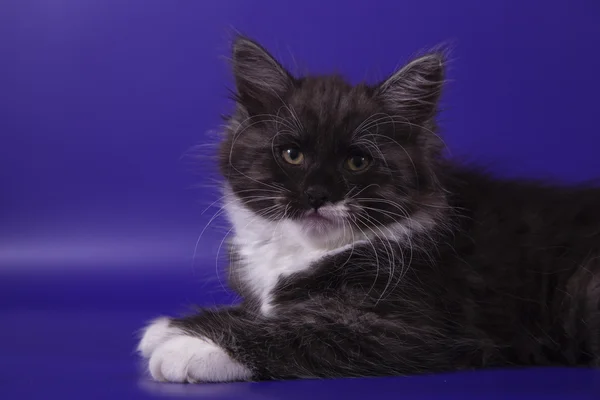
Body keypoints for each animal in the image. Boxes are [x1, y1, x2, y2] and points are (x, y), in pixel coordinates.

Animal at [137, 36, 600, 382]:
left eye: (357, 161)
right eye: (292, 155)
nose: (318, 194)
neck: (306, 249)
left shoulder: (408, 327)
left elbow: (298, 330)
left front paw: (192, 347)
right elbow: (261, 311)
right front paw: (176, 325)